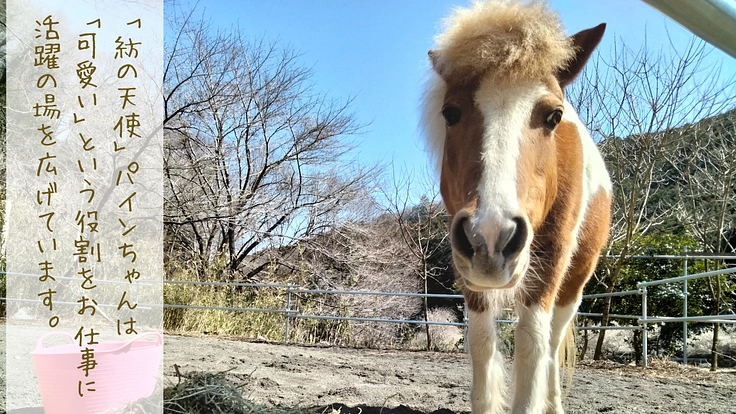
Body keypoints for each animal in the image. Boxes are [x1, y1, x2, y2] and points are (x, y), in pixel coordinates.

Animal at [421, 1, 611, 413]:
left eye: (554, 116)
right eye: (450, 113)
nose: (492, 237)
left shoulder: (548, 269)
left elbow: (531, 344)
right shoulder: (469, 272)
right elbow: (481, 344)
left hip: (572, 285)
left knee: (552, 345)